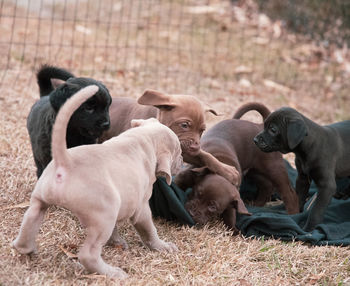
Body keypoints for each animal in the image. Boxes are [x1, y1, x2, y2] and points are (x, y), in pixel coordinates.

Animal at [12, 85, 183, 280]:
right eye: (178, 151)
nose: (182, 161)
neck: (143, 138)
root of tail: (66, 162)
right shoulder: (140, 209)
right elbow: (149, 230)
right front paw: (163, 246)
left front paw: (116, 242)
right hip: (104, 214)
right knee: (88, 255)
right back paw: (113, 273)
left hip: (39, 201)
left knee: (30, 220)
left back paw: (26, 249)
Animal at [100, 91, 239, 185]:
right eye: (184, 125)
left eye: (202, 130)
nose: (196, 146)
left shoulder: (184, 149)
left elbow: (205, 156)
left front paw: (226, 170)